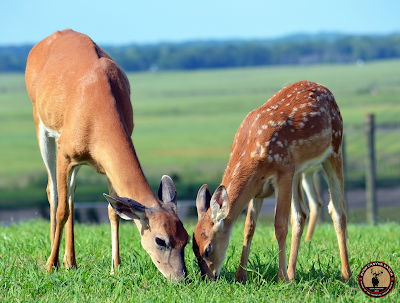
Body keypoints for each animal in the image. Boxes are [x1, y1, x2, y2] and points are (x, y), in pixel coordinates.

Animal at [25, 29, 190, 282]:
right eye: (160, 240)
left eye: (186, 238)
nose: (182, 277)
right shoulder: (65, 153)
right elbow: (62, 209)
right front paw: (49, 266)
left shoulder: (104, 164)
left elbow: (113, 211)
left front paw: (115, 267)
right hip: (41, 125)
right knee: (53, 190)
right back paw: (56, 259)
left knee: (71, 192)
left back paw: (71, 261)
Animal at [192, 80, 352, 282]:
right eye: (193, 247)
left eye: (208, 249)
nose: (208, 278)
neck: (251, 150)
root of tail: (324, 89)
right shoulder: (257, 187)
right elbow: (249, 226)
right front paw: (241, 276)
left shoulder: (282, 172)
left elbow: (280, 225)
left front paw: (281, 278)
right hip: (297, 171)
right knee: (301, 214)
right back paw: (293, 273)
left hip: (334, 150)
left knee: (337, 210)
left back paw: (346, 274)